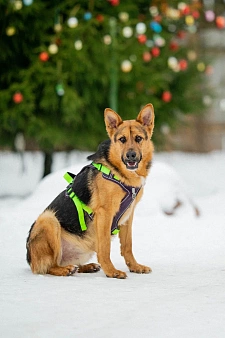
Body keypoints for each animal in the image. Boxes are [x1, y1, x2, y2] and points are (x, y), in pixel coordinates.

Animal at [25, 104, 154, 278]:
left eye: (139, 138)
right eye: (122, 139)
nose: (131, 155)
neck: (120, 174)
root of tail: (30, 260)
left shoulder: (128, 215)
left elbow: (128, 245)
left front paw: (134, 266)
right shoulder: (105, 214)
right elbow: (105, 248)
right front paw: (111, 271)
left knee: (70, 264)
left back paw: (86, 267)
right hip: (48, 219)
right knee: (49, 266)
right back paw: (64, 270)